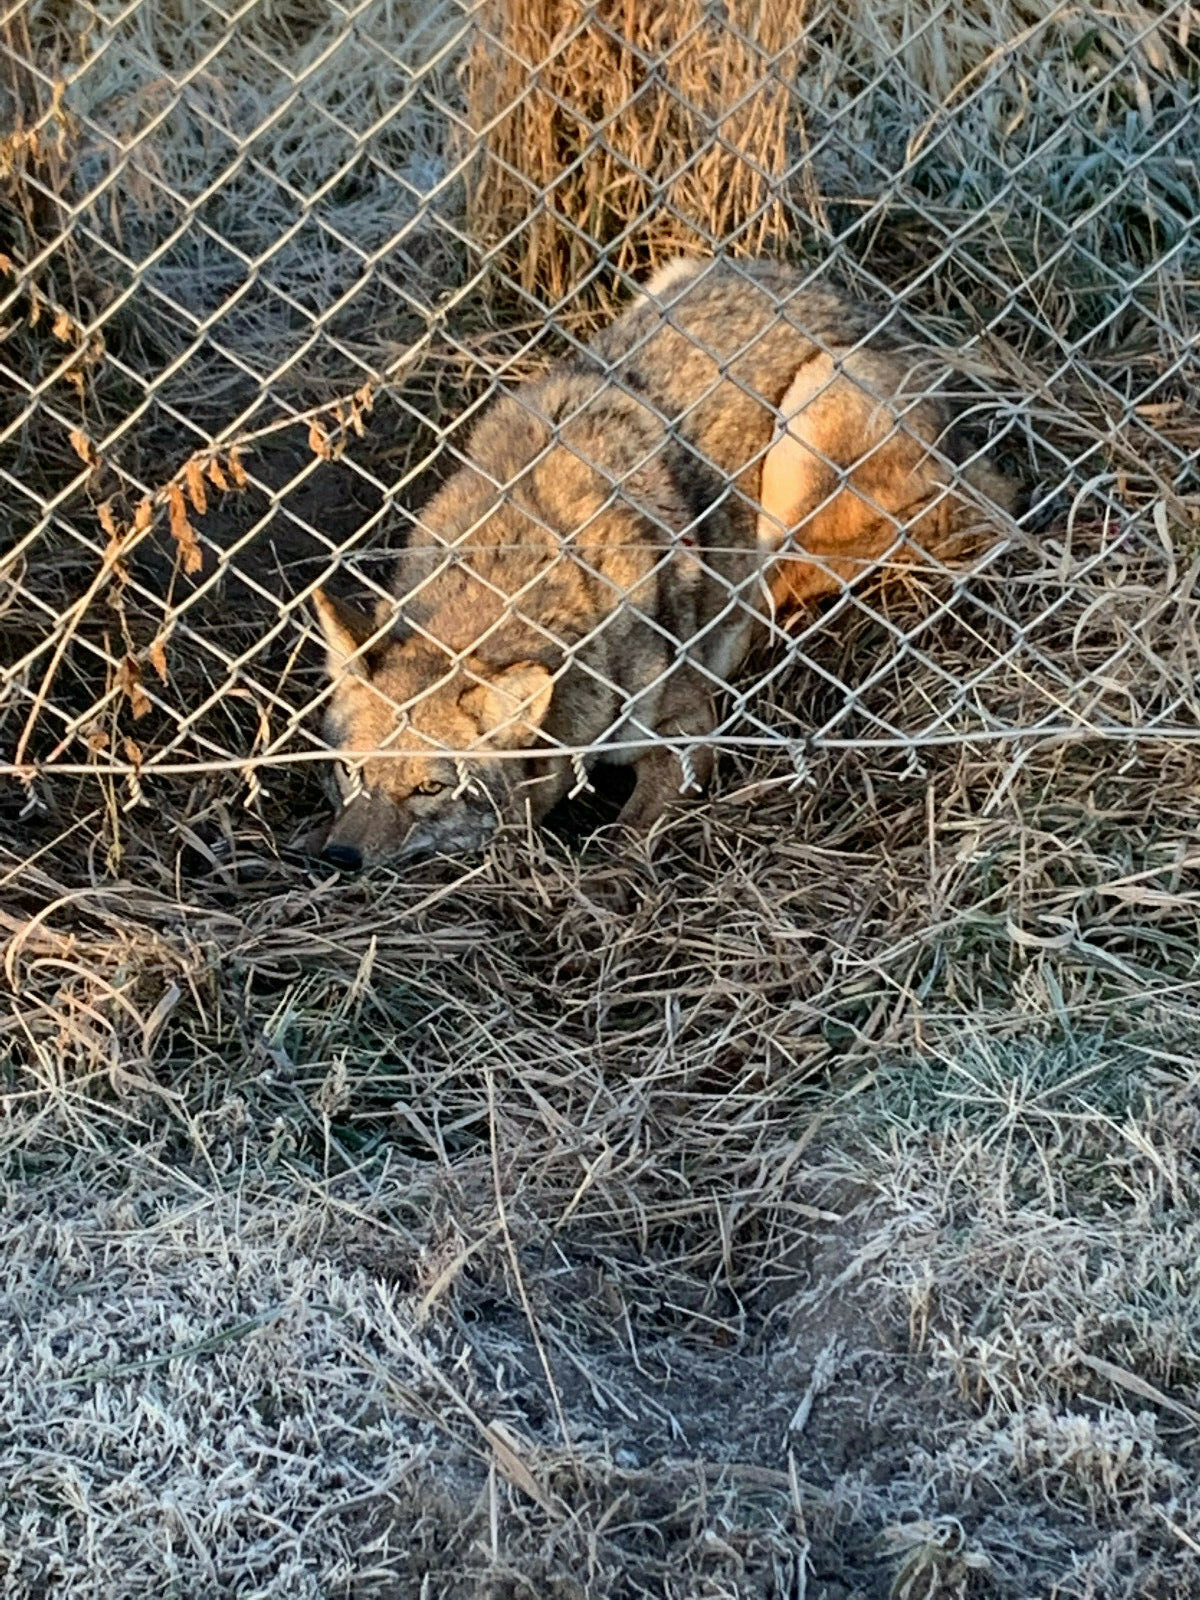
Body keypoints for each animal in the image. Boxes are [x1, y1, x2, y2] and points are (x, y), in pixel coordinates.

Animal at [312, 256, 1019, 868]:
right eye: (350, 772)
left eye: (430, 789)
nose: (338, 857)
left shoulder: (685, 733)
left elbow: (627, 836)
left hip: (802, 437)